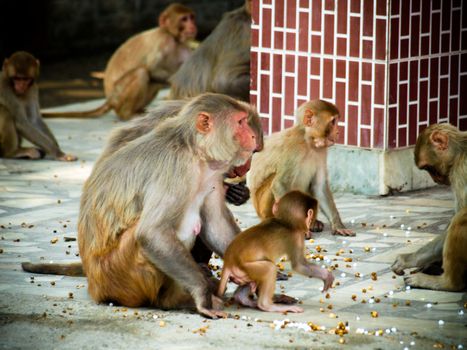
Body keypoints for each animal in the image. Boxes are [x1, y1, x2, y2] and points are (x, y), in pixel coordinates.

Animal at [23, 93, 258, 318]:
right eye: (240, 122)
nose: (253, 136)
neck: (195, 151)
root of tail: (94, 285)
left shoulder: (212, 174)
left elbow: (216, 224)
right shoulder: (176, 169)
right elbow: (152, 232)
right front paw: (202, 296)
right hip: (118, 276)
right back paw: (174, 300)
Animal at [42, 2, 197, 121]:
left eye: (191, 17)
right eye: (184, 19)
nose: (193, 26)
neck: (175, 39)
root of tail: (110, 99)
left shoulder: (185, 47)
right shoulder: (163, 41)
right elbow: (152, 69)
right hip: (119, 96)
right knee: (142, 73)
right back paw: (128, 115)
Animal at [249, 98, 354, 237]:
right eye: (333, 121)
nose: (338, 131)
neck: (309, 141)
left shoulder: (321, 151)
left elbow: (318, 187)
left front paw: (338, 225)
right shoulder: (294, 147)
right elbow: (280, 183)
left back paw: (314, 223)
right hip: (263, 207)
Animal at [392, 124, 467, 292]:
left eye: (429, 168)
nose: (435, 179)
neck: (461, 150)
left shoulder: (460, 171)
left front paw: (409, 259)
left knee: (461, 218)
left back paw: (448, 283)